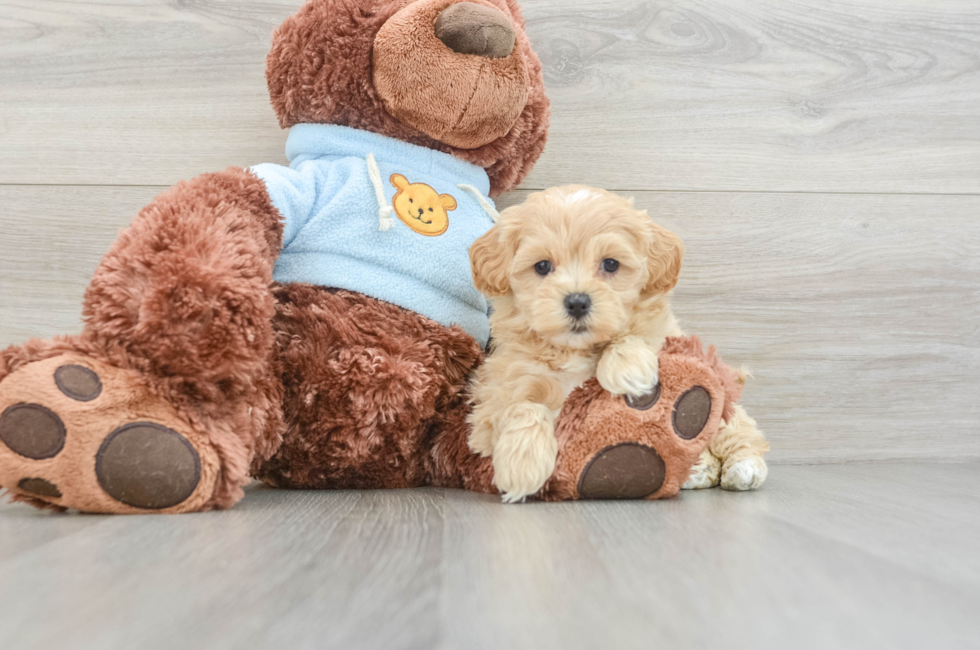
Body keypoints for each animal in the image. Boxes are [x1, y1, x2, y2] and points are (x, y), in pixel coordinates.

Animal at [468, 185, 772, 498]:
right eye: (542, 266)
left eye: (611, 264)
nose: (577, 302)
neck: (576, 350)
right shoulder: (498, 388)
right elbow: (521, 404)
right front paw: (522, 464)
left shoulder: (664, 335)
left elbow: (635, 333)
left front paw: (629, 369)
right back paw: (697, 471)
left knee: (737, 430)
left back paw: (742, 468)